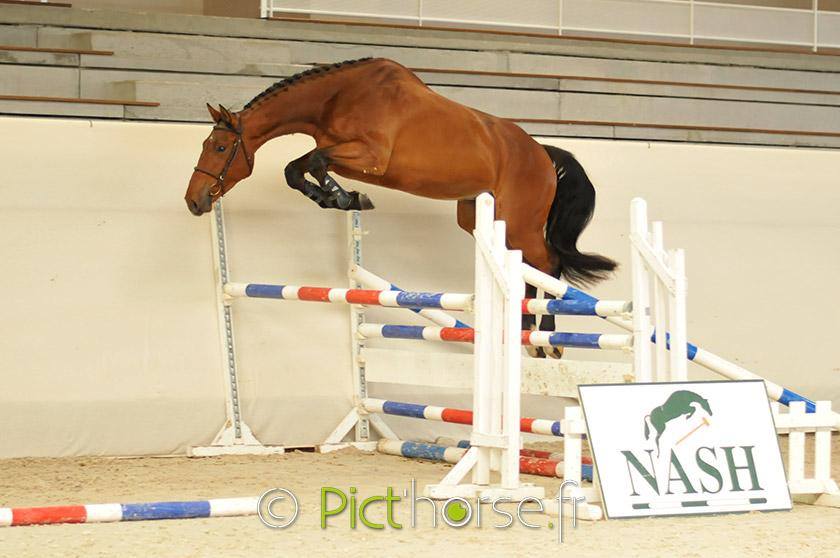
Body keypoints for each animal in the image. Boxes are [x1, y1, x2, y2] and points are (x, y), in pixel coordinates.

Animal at [185, 58, 616, 358]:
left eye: (219, 147)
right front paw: (339, 198)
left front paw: (347, 198)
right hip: (479, 217)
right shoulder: (342, 153)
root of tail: (542, 152)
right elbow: (298, 168)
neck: (338, 96)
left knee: (548, 263)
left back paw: (547, 338)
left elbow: (314, 163)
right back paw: (526, 331)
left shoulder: (369, 156)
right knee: (527, 266)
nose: (194, 200)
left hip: (519, 219)